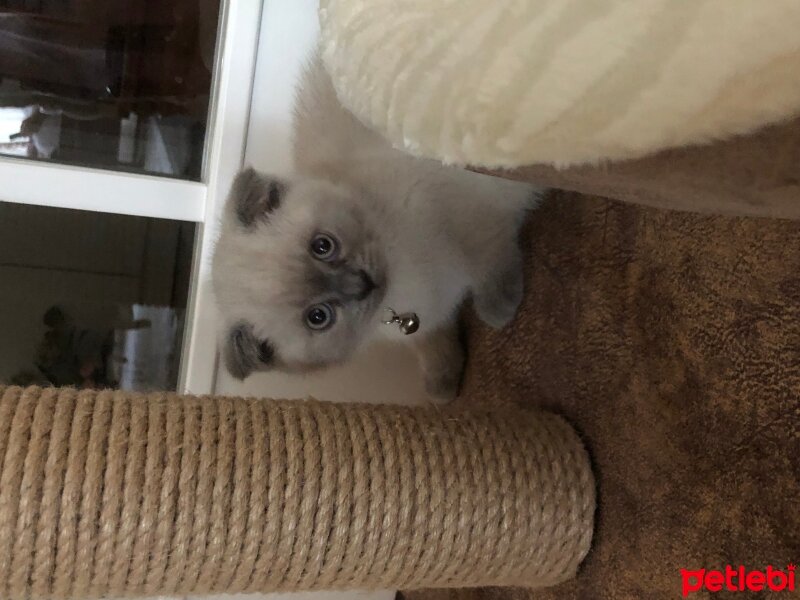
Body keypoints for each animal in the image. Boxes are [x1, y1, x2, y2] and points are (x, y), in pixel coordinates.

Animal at [211, 51, 536, 398]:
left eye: (322, 245)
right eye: (318, 316)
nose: (362, 283)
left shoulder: (465, 210)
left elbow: (490, 260)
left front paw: (499, 312)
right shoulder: (427, 318)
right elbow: (433, 343)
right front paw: (443, 388)